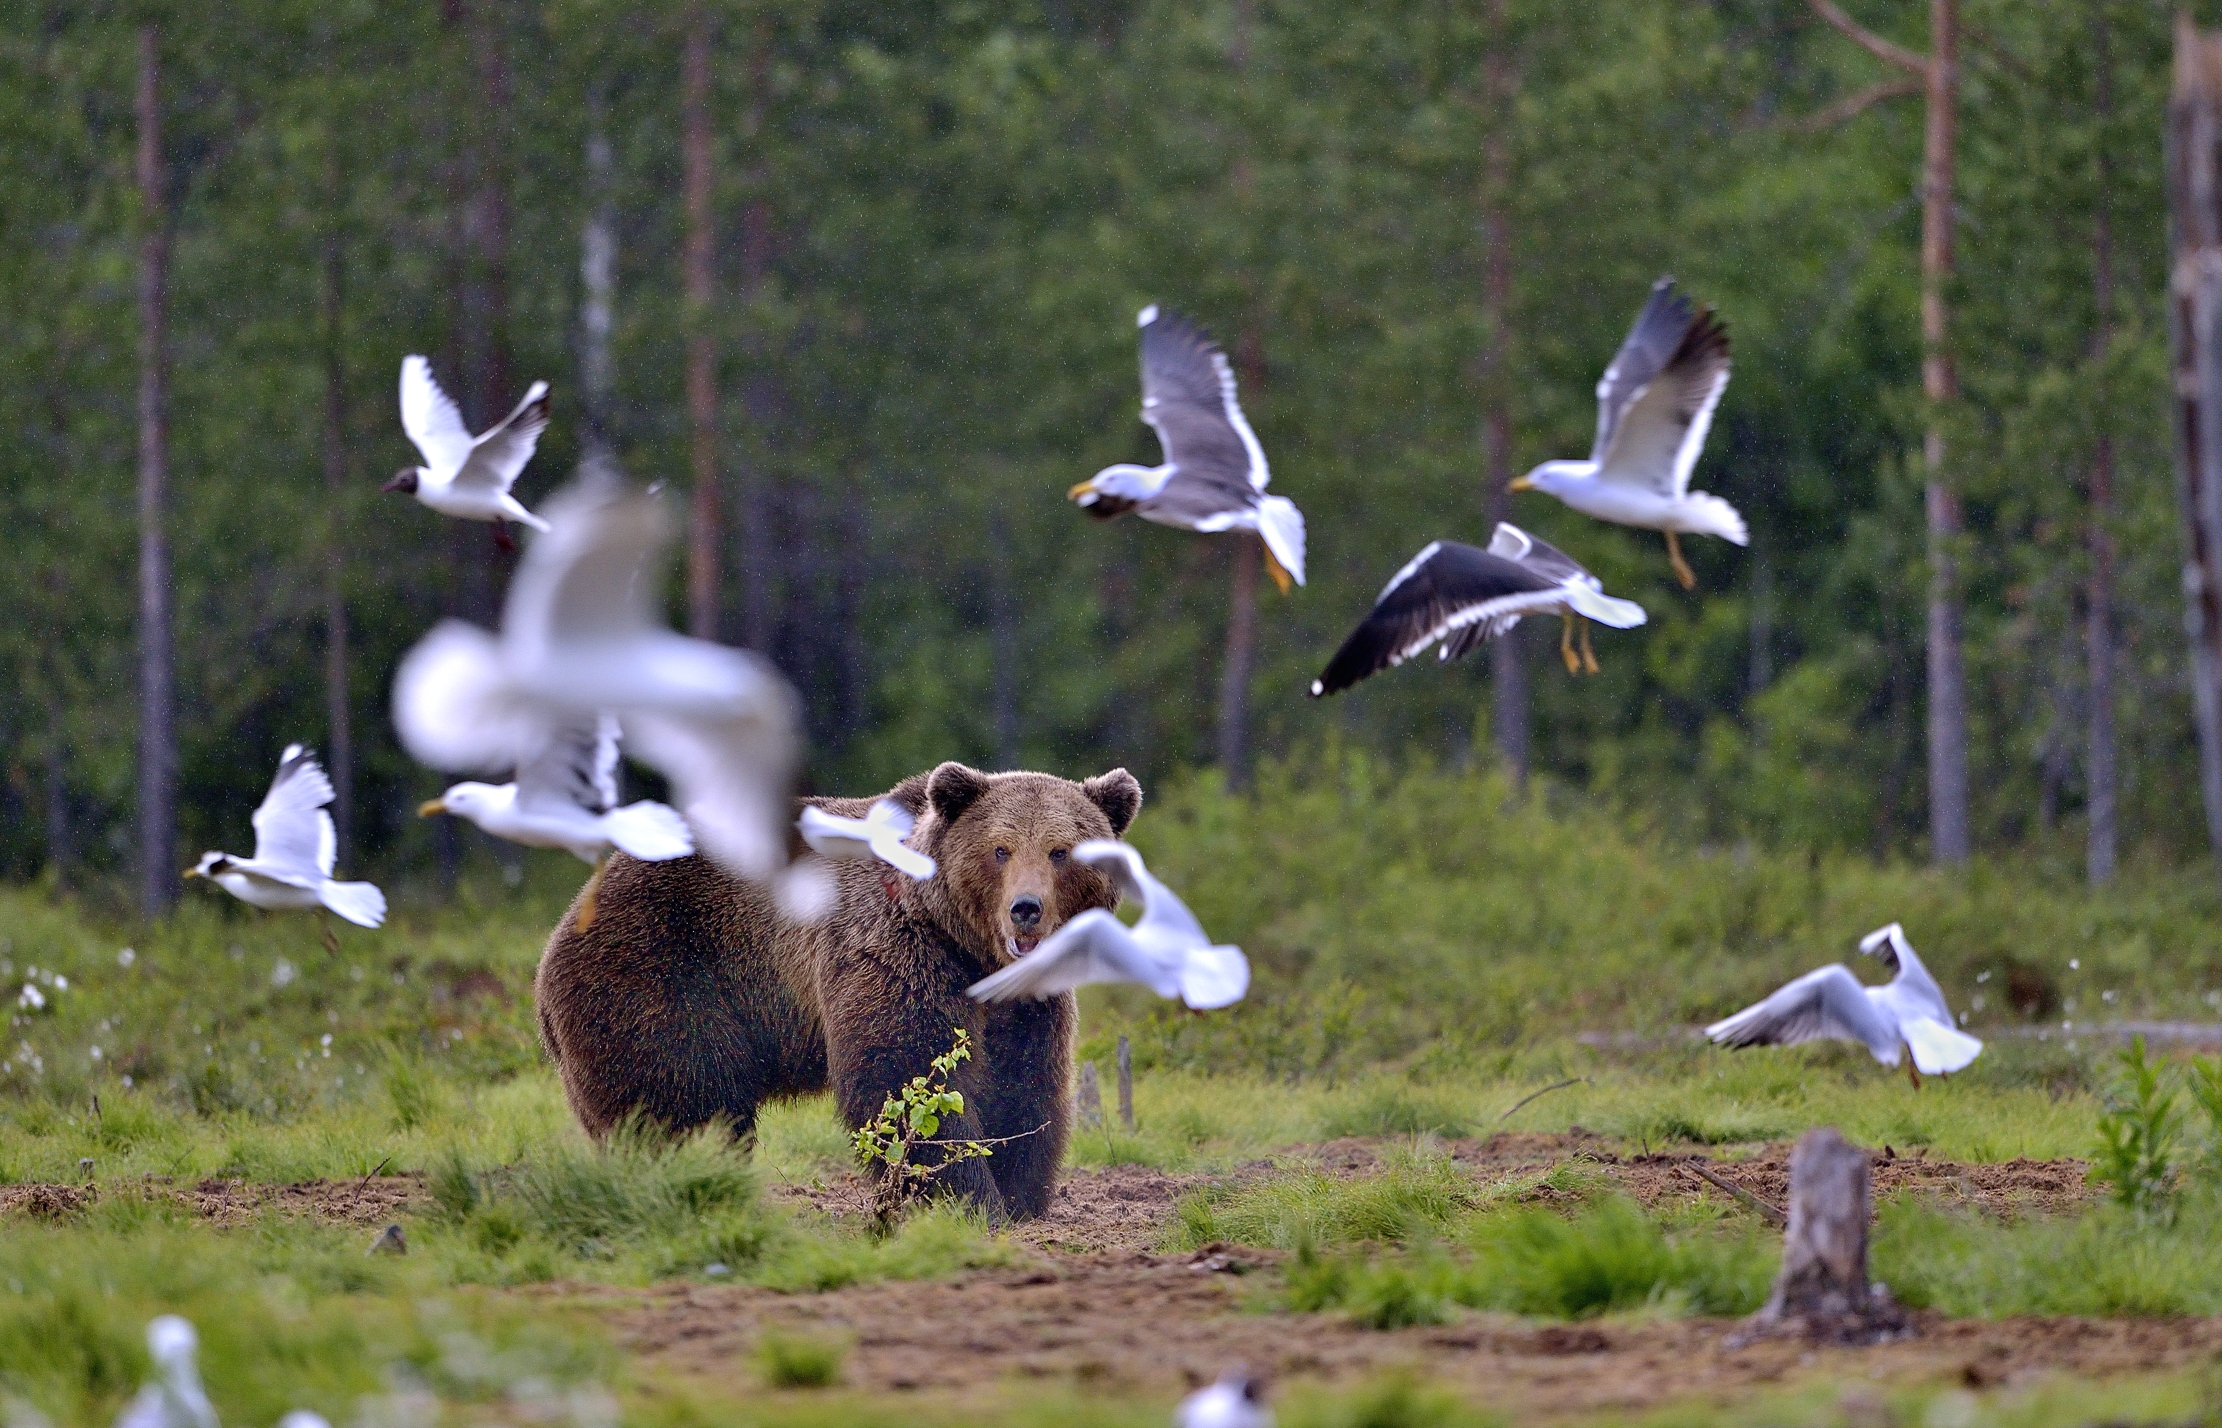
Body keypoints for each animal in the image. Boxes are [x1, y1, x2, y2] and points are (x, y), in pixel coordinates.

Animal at [532, 760, 1143, 1221]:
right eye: (1000, 850)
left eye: (1060, 851)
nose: (1026, 910)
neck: (974, 953)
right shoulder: (897, 951)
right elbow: (909, 1075)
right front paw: (969, 1199)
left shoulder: (1026, 1004)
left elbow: (1022, 1083)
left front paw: (1021, 1198)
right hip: (661, 969)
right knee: (678, 1095)